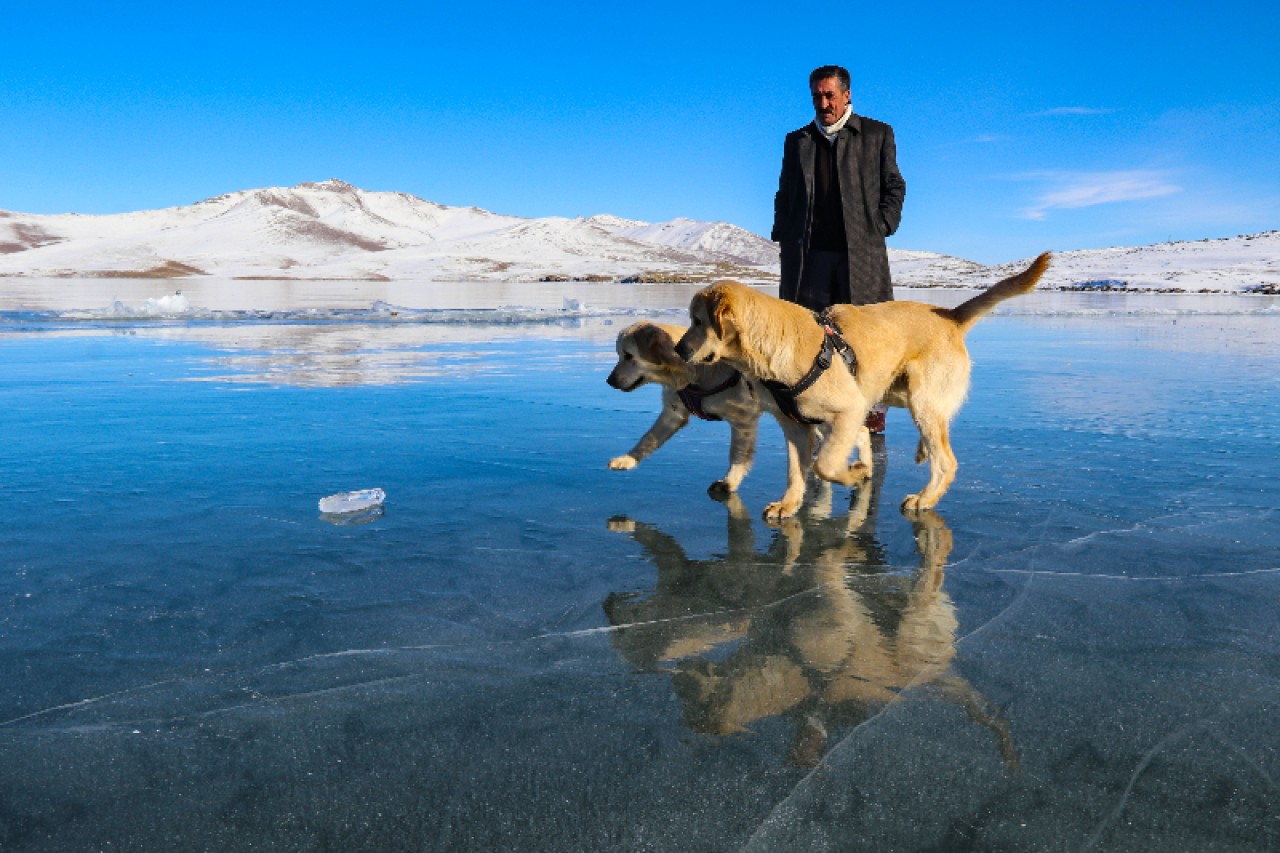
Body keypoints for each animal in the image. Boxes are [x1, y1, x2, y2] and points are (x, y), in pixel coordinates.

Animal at [670, 252, 1049, 514]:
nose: (677, 349)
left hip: (921, 403)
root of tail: (951, 317)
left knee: (946, 461)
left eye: (698, 321)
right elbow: (796, 471)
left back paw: (926, 498)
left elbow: (823, 465)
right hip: (898, 393)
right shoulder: (794, 425)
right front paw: (789, 504)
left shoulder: (847, 409)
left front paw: (852, 475)